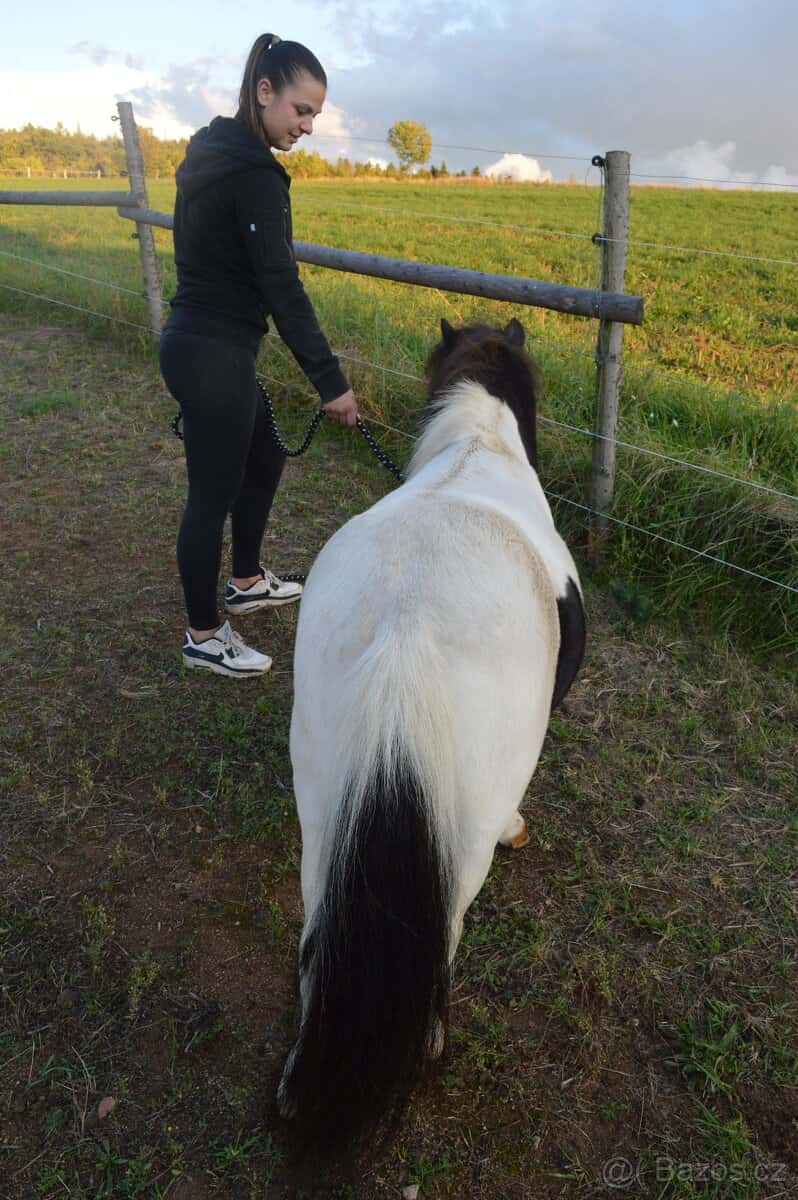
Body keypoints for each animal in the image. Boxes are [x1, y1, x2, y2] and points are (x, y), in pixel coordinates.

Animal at [277, 317, 586, 1154]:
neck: (478, 445)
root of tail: (408, 627)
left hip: (322, 806)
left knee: (318, 931)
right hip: (459, 843)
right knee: (442, 937)